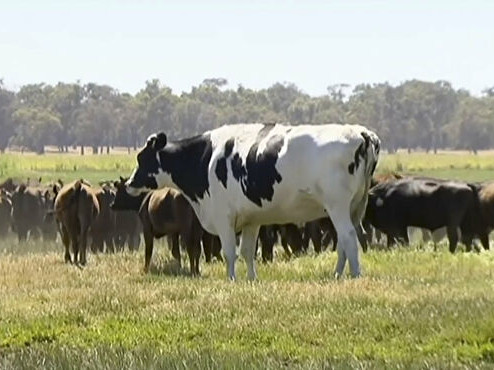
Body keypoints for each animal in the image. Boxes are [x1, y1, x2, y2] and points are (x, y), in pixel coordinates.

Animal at [125, 123, 380, 278]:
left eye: (141, 158)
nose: (128, 183)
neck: (205, 159)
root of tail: (361, 133)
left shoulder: (223, 217)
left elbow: (230, 252)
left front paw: (231, 280)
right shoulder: (252, 219)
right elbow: (248, 251)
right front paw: (251, 279)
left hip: (337, 206)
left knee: (349, 238)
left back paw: (355, 276)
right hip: (350, 208)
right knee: (345, 241)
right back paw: (337, 274)